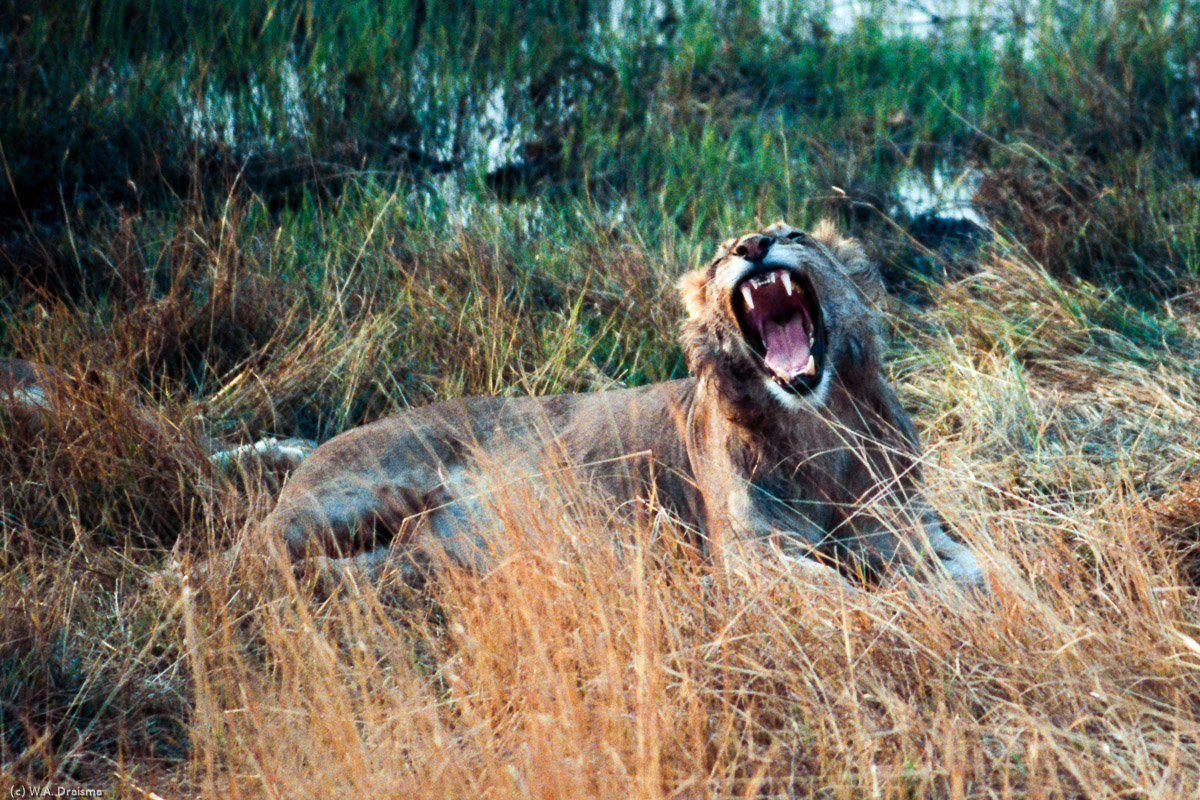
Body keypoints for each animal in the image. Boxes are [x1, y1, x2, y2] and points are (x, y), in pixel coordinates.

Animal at [255, 221, 984, 592]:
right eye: (721, 255)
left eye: (793, 233)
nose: (753, 247)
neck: (816, 428)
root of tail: (310, 456)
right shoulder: (752, 552)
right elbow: (839, 592)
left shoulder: (910, 520)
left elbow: (974, 565)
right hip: (353, 500)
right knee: (246, 559)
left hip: (421, 554)